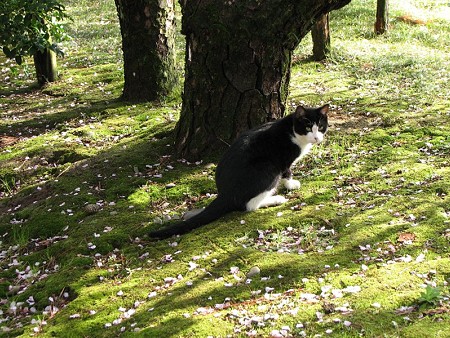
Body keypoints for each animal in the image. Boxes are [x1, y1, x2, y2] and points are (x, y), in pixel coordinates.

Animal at [149, 104, 328, 239]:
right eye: (307, 127)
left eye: (320, 127)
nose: (317, 138)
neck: (292, 131)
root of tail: (224, 193)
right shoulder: (282, 158)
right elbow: (287, 172)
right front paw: (291, 184)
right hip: (267, 167)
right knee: (249, 205)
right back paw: (276, 199)